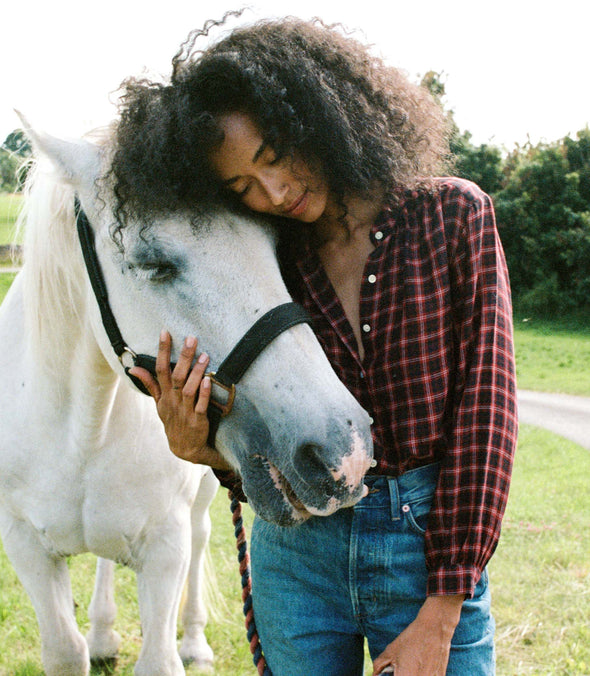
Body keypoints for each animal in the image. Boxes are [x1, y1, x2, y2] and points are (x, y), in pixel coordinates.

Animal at [0, 123, 372, 676]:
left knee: (200, 538)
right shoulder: (25, 545)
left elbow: (160, 655)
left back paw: (193, 641)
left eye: (275, 249)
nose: (342, 451)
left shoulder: (165, 546)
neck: (79, 430)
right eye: (153, 263)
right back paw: (104, 633)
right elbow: (65, 651)